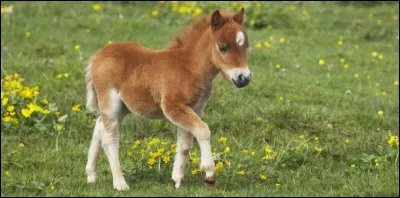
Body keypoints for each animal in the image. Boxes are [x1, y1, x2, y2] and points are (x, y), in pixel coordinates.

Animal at [85, 7, 252, 190]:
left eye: (246, 46)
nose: (244, 78)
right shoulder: (173, 107)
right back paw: (120, 184)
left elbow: (185, 144)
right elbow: (202, 130)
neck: (189, 67)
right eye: (222, 47)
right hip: (111, 101)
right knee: (110, 139)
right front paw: (209, 174)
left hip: (123, 107)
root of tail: (96, 56)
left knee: (99, 126)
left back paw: (91, 175)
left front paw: (177, 179)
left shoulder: (194, 108)